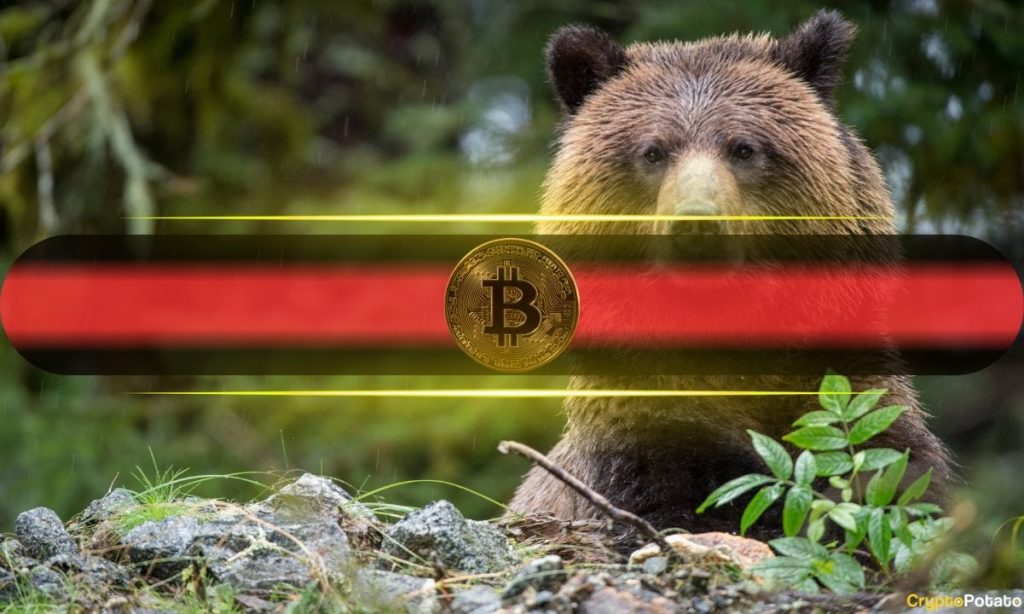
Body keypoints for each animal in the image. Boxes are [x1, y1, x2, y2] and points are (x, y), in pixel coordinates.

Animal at [508, 11, 954, 543]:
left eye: (743, 148)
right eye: (653, 152)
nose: (697, 224)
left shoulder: (846, 386)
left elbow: (893, 473)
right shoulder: (640, 420)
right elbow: (681, 490)